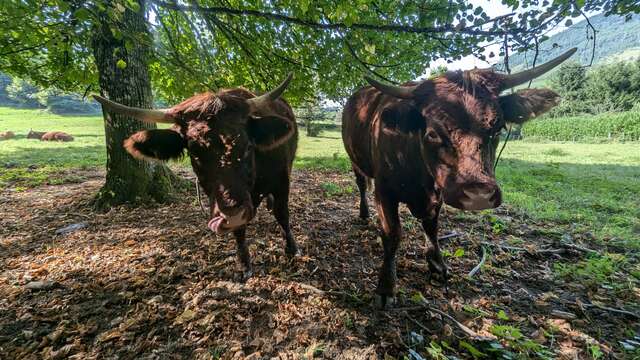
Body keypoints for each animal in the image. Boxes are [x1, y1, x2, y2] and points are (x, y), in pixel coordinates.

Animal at [95, 74, 300, 282]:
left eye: (248, 146)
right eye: (194, 152)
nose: (233, 214)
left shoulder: (282, 181)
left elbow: (282, 214)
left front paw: (291, 249)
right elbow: (239, 230)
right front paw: (244, 265)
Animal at [342, 48, 576, 306]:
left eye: (499, 128)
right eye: (432, 133)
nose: (478, 194)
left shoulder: (438, 194)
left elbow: (432, 228)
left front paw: (437, 265)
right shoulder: (385, 191)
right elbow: (392, 234)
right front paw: (386, 287)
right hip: (355, 161)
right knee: (362, 185)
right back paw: (364, 213)